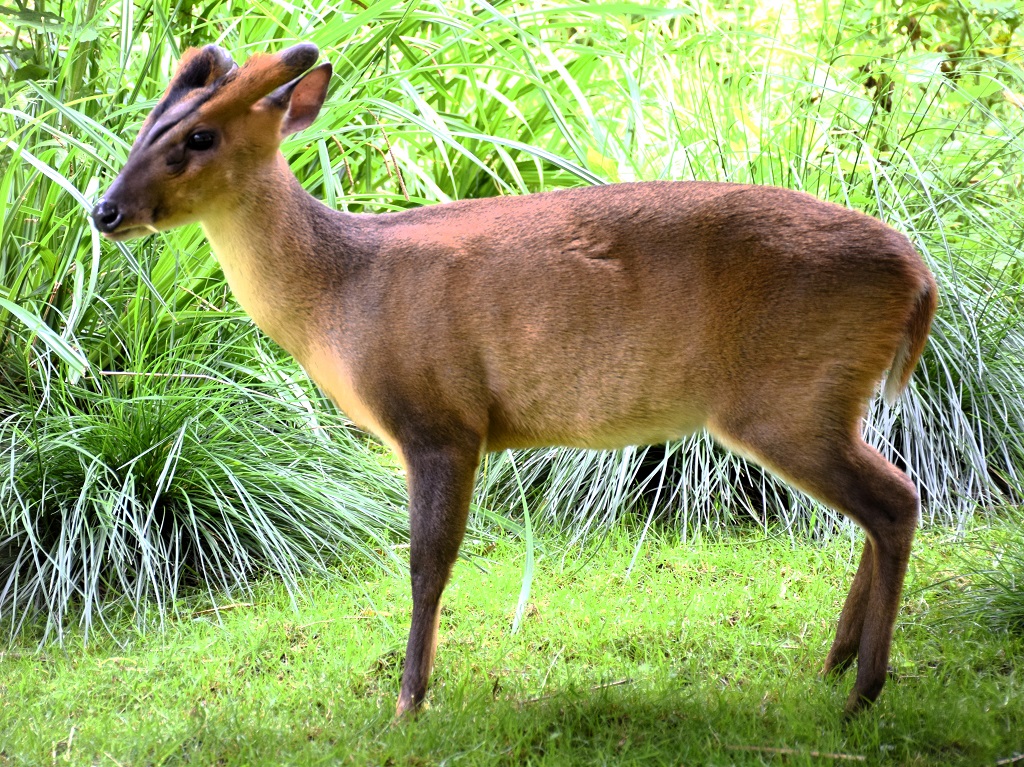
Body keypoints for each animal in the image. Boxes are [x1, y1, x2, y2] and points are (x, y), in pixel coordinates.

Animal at [96, 44, 937, 716]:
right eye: (144, 129)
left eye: (198, 137)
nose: (105, 210)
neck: (341, 293)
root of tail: (919, 277)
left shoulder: (441, 420)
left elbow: (427, 564)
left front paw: (408, 700)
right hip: (823, 402)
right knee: (886, 500)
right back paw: (836, 664)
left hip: (787, 398)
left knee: (896, 499)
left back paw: (863, 690)